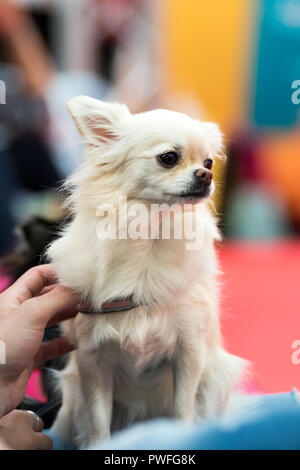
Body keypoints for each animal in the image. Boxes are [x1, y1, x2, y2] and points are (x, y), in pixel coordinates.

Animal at [47, 97, 244, 450]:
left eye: (209, 161)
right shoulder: (92, 362)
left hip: (215, 379)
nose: (206, 174)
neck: (150, 235)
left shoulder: (188, 352)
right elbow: (99, 424)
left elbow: (182, 410)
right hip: (71, 400)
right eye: (169, 158)